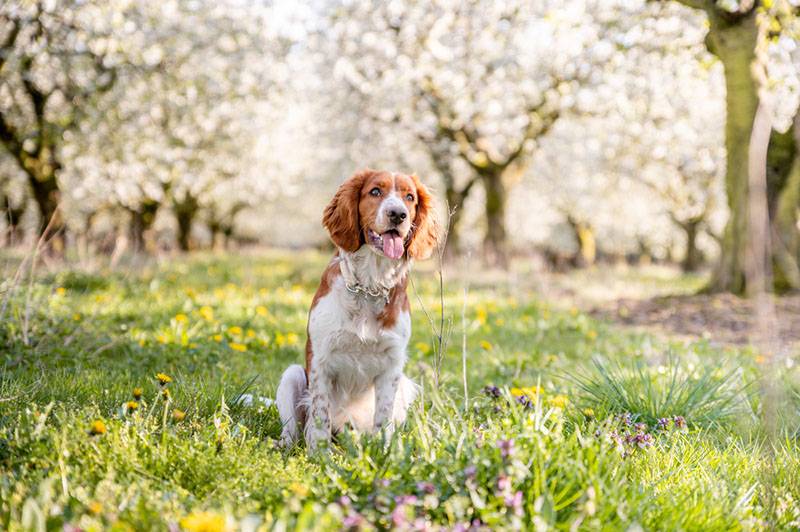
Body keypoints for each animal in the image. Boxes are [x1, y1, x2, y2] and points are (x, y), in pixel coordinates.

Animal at [276, 169, 438, 448]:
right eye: (375, 191)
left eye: (410, 197)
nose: (398, 214)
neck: (369, 287)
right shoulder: (321, 359)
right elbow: (319, 416)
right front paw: (319, 454)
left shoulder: (392, 365)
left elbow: (383, 418)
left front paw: (384, 452)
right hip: (292, 376)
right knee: (293, 431)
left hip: (404, 385)